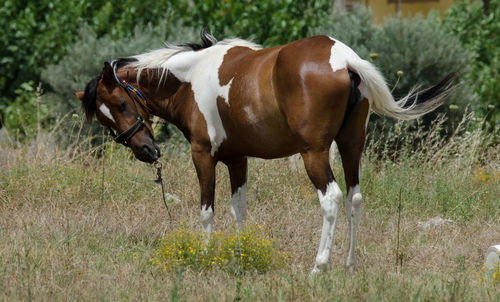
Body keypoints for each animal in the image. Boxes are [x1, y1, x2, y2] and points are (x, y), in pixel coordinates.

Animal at [76, 31, 456, 274]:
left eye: (122, 104)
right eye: (105, 119)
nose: (146, 150)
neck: (190, 77)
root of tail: (344, 59)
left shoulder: (203, 155)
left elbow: (207, 210)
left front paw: (203, 256)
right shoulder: (237, 159)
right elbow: (239, 210)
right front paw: (241, 254)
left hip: (314, 153)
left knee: (332, 198)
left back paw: (320, 266)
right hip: (351, 148)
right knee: (354, 198)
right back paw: (349, 265)